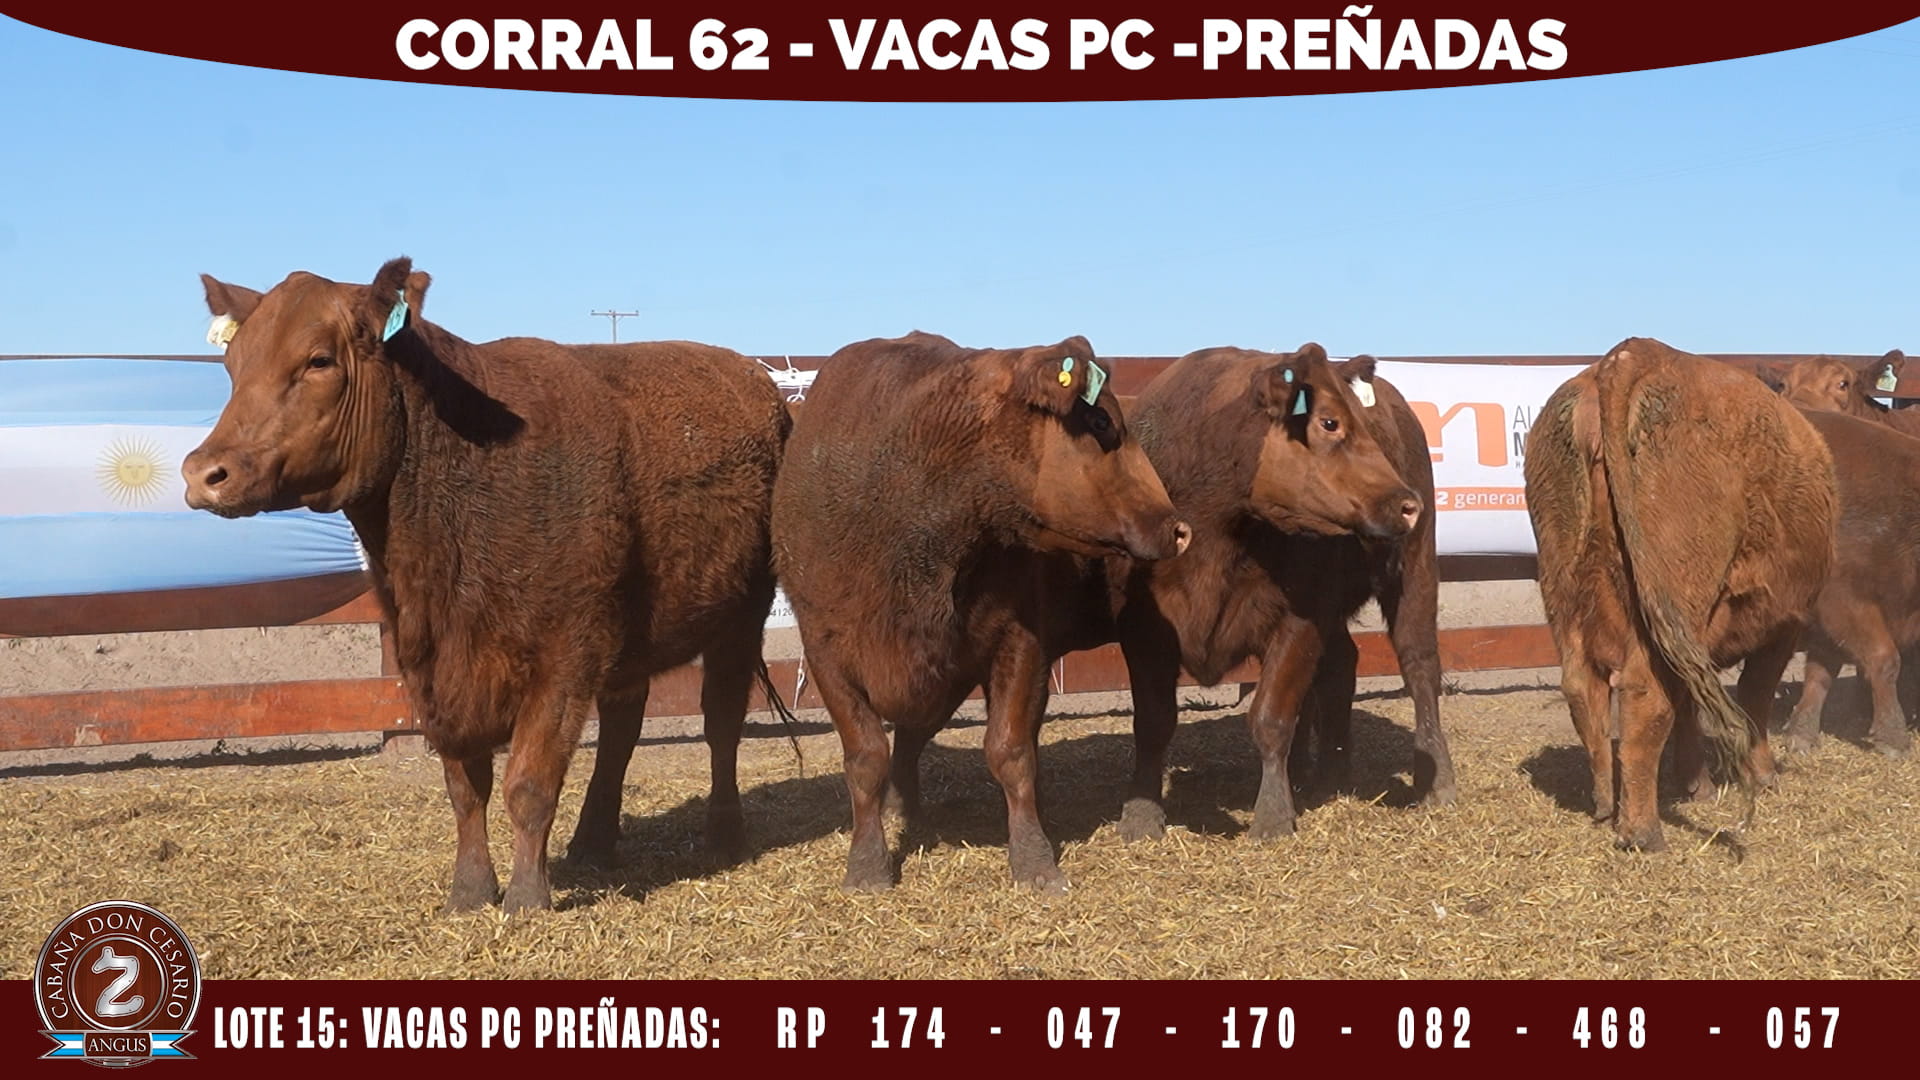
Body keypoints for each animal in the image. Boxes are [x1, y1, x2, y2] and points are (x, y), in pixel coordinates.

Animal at [183, 257, 793, 914]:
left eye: (319, 360)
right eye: (232, 364)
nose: (204, 472)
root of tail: (754, 377)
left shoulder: (565, 654)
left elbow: (528, 782)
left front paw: (527, 898)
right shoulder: (428, 667)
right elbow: (464, 785)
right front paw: (471, 890)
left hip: (741, 615)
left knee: (721, 719)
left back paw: (723, 834)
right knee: (622, 729)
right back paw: (594, 842)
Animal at [771, 331, 1190, 893]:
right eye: (1101, 422)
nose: (1178, 528)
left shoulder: (1017, 641)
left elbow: (1010, 750)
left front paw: (1034, 859)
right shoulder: (825, 651)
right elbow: (866, 757)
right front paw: (867, 865)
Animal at [1109, 344, 1455, 843]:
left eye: (1364, 423)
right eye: (1329, 422)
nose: (1407, 504)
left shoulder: (1300, 618)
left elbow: (1271, 717)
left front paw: (1272, 815)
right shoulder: (1142, 629)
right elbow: (1153, 723)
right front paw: (1140, 814)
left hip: (1414, 569)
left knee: (1419, 664)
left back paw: (1436, 780)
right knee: (1340, 665)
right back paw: (1326, 774)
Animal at [1525, 338, 1837, 851]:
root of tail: (1634, 354)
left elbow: (1692, 701)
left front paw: (1697, 784)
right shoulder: (1785, 624)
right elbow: (1755, 695)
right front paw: (1762, 773)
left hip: (1565, 587)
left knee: (1583, 687)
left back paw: (1603, 807)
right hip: (1673, 601)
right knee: (1646, 694)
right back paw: (1642, 831)